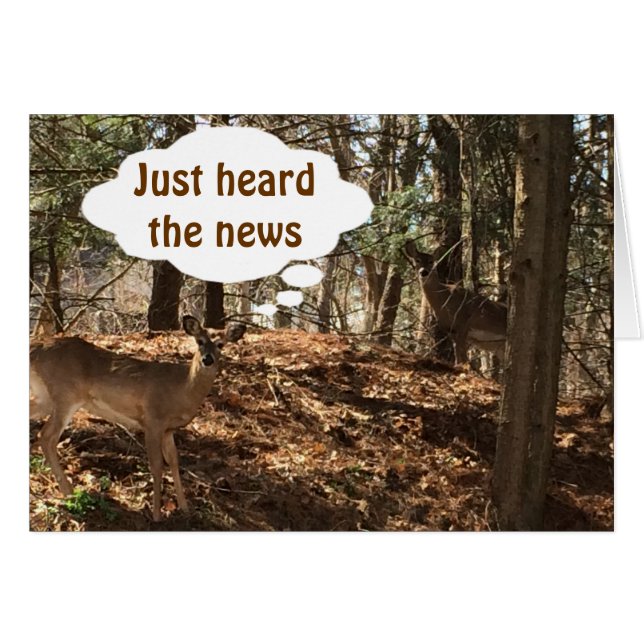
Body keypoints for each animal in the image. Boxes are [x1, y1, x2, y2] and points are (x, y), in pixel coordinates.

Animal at [29, 316, 246, 521]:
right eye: (199, 341)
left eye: (221, 344)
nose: (207, 359)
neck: (182, 389)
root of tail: (35, 349)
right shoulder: (152, 420)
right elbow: (157, 465)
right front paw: (157, 515)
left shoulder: (168, 430)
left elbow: (174, 461)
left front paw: (185, 509)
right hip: (66, 393)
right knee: (47, 437)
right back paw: (70, 492)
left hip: (45, 397)